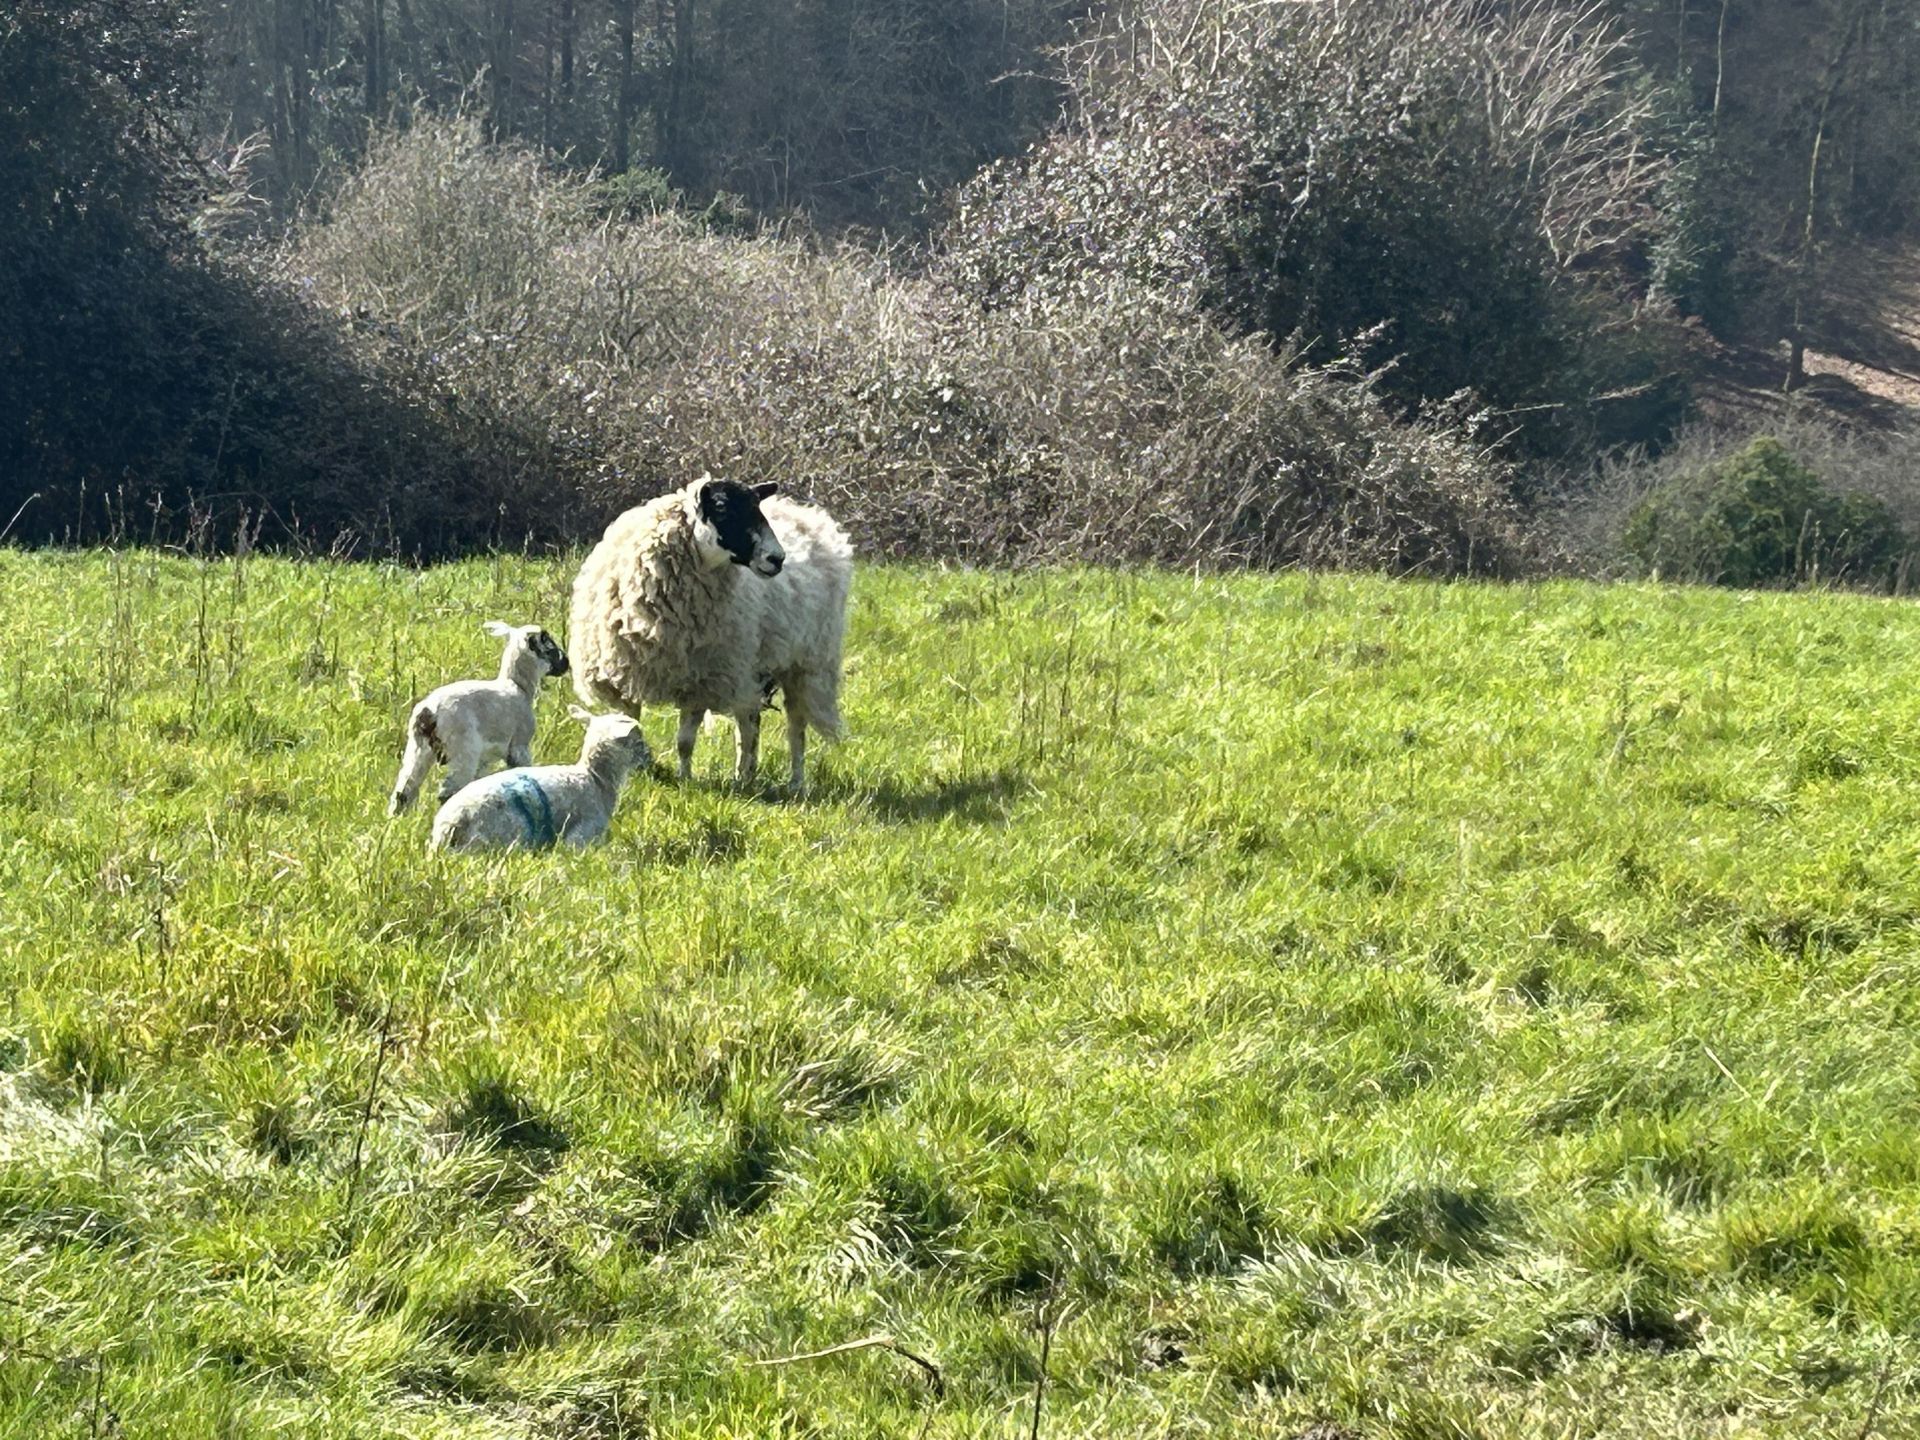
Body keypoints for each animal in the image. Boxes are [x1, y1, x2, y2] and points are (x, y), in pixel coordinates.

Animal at [388, 621, 570, 816]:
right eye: (548, 644)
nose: (566, 663)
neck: (518, 687)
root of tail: (430, 710)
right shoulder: (519, 746)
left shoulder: (484, 762)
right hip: (463, 750)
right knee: (447, 791)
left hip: (418, 749)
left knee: (404, 791)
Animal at [568, 474, 852, 792]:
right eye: (722, 507)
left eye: (757, 507)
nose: (777, 559)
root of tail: (809, 516)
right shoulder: (625, 677)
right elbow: (630, 724)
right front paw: (638, 770)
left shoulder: (701, 680)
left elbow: (684, 741)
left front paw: (684, 780)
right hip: (748, 667)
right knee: (748, 723)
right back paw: (744, 776)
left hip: (803, 665)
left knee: (795, 728)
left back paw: (795, 782)